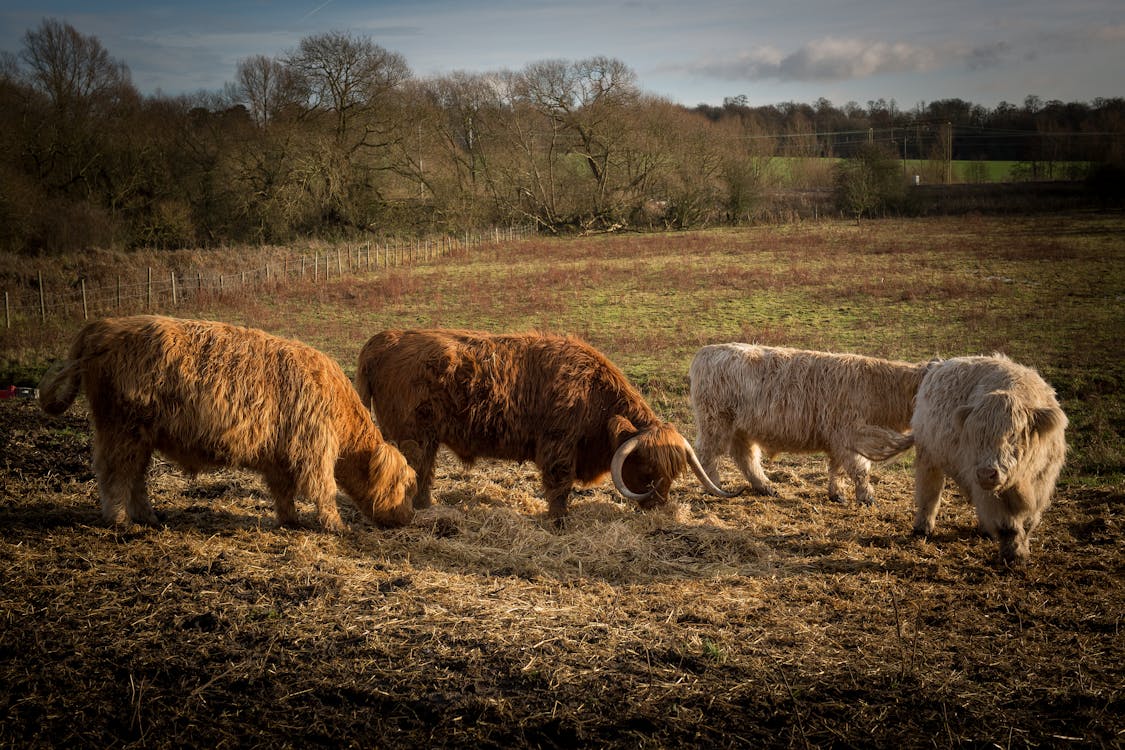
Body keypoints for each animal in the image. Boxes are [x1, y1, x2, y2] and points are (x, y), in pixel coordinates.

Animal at [38, 315, 417, 531]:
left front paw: (290, 521)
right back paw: (119, 521)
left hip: (140, 436)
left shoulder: (279, 455)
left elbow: (283, 491)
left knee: (135, 477)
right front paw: (336, 526)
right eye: (402, 485)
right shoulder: (314, 449)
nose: (407, 517)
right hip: (121, 428)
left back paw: (148, 517)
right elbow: (323, 489)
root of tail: (100, 327)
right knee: (115, 473)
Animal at [354, 328, 738, 521]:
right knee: (412, 468)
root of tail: (385, 338)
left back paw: (427, 507)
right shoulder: (558, 445)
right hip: (413, 436)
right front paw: (559, 520)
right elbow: (559, 485)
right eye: (645, 467)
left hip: (428, 437)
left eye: (673, 473)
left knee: (425, 471)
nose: (658, 505)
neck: (595, 397)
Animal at [689, 343, 935, 505]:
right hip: (715, 422)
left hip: (741, 429)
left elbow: (838, 468)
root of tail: (705, 351)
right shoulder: (849, 435)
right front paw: (867, 498)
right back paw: (716, 486)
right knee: (707, 454)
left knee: (745, 457)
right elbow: (859, 469)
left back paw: (766, 487)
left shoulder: (838, 439)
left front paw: (838, 494)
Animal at [903, 354, 1068, 565]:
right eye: (975, 436)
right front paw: (1013, 554)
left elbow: (1028, 522)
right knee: (929, 492)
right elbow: (1008, 525)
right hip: (929, 457)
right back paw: (923, 527)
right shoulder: (990, 492)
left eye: (1013, 435)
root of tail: (938, 364)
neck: (1021, 484)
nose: (986, 473)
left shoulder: (1042, 483)